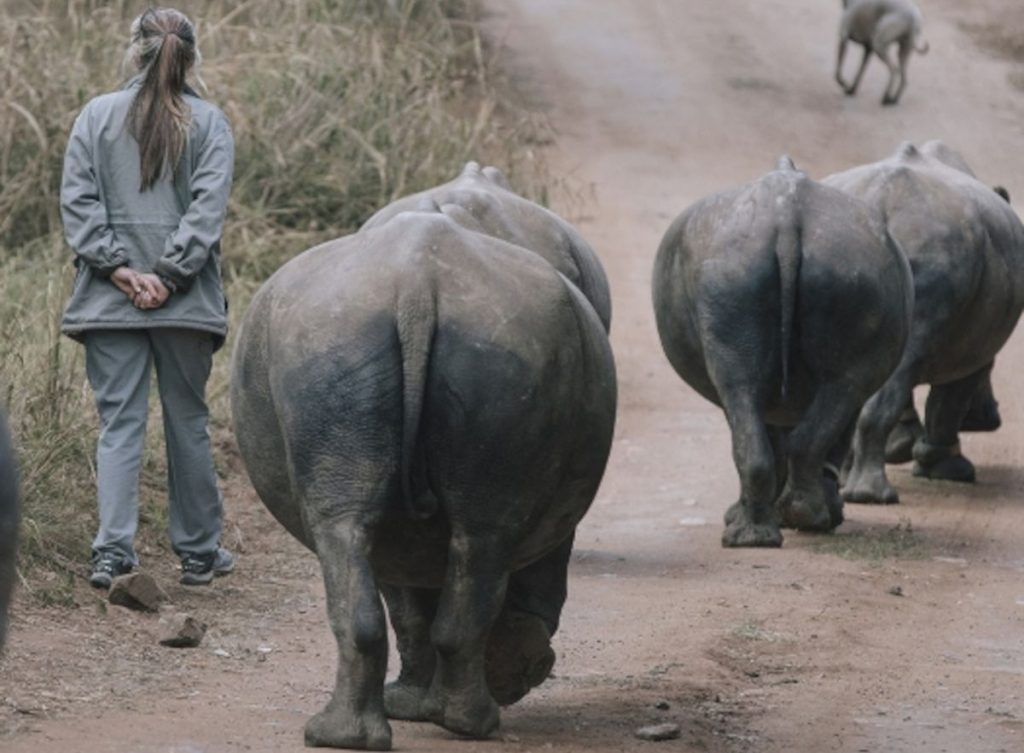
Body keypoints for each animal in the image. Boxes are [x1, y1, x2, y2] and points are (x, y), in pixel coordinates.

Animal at [232, 175, 614, 749]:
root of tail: (416, 286)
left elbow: (411, 596)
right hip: (390, 344)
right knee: (471, 537)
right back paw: (456, 721)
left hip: (346, 344)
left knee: (358, 530)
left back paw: (363, 731)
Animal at [655, 157, 913, 549]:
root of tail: (787, 220)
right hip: (839, 269)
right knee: (831, 390)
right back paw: (797, 521)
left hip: (743, 271)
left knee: (749, 391)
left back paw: (754, 535)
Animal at [823, 143, 1024, 504]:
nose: (990, 419)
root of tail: (880, 201)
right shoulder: (972, 346)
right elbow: (949, 401)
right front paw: (951, 471)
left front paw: (904, 449)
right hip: (937, 249)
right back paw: (872, 496)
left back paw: (848, 488)